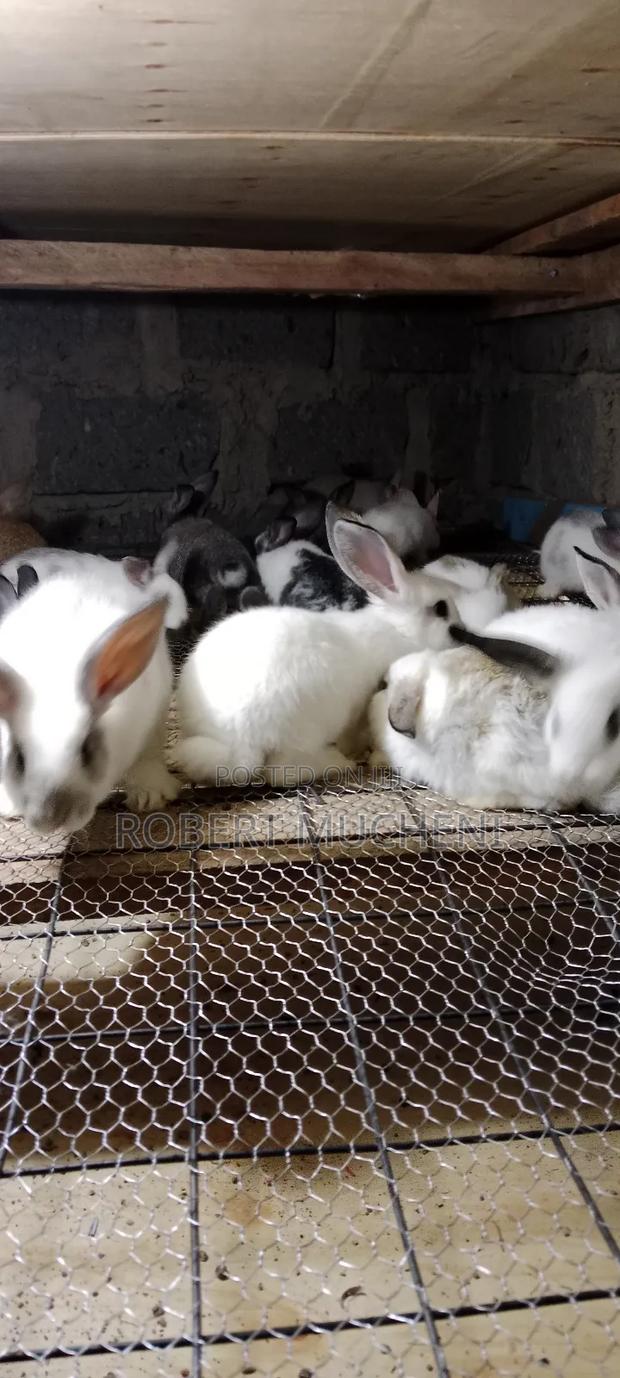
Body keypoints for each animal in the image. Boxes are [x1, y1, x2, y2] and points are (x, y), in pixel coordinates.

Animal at [172, 505, 463, 787]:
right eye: (441, 609)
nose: (460, 635)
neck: (397, 629)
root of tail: (240, 741)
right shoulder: (359, 707)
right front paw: (355, 751)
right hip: (306, 729)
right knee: (281, 772)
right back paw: (338, 763)